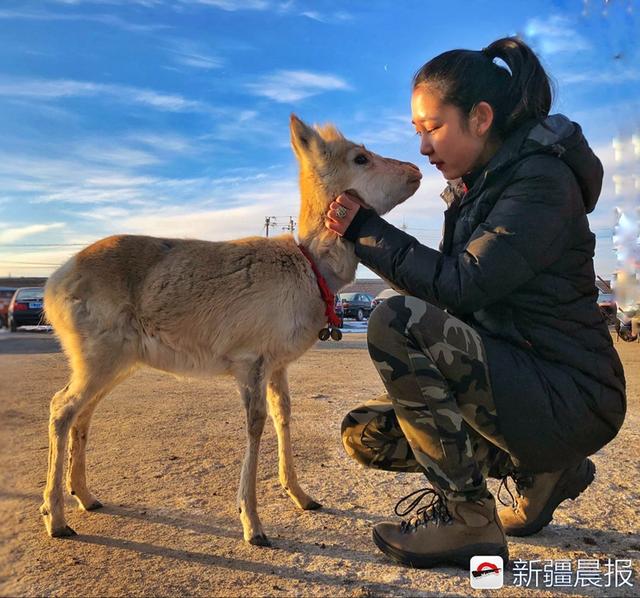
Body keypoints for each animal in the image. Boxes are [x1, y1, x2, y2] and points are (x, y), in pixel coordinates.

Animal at [38, 113, 420, 548]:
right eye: (360, 157)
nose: (416, 170)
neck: (310, 267)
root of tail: (54, 282)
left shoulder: (277, 366)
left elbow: (283, 415)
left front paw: (301, 496)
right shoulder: (249, 362)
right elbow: (255, 424)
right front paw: (253, 524)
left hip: (115, 365)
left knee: (81, 414)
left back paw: (86, 497)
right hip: (99, 360)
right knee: (61, 408)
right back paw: (56, 517)